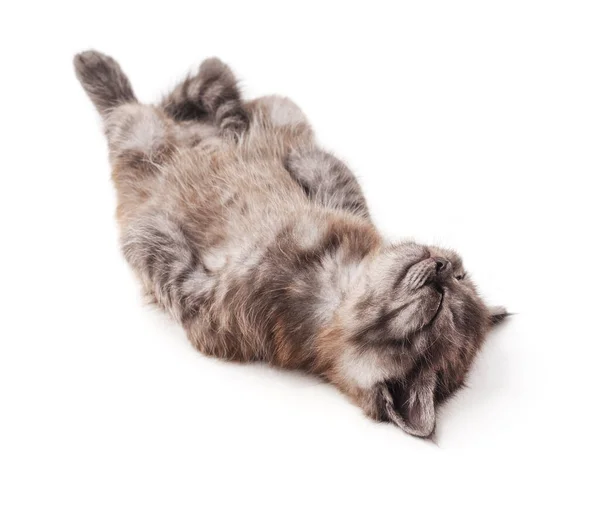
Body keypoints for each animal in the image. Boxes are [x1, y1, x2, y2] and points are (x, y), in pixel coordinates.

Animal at [74, 51, 506, 436]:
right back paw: (216, 95)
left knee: (129, 108)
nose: (443, 268)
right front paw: (286, 154)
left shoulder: (207, 309)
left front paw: (152, 235)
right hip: (246, 110)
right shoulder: (338, 198)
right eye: (460, 280)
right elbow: (329, 170)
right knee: (191, 96)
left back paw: (100, 68)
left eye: (439, 310)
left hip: (138, 137)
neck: (337, 284)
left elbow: (160, 258)